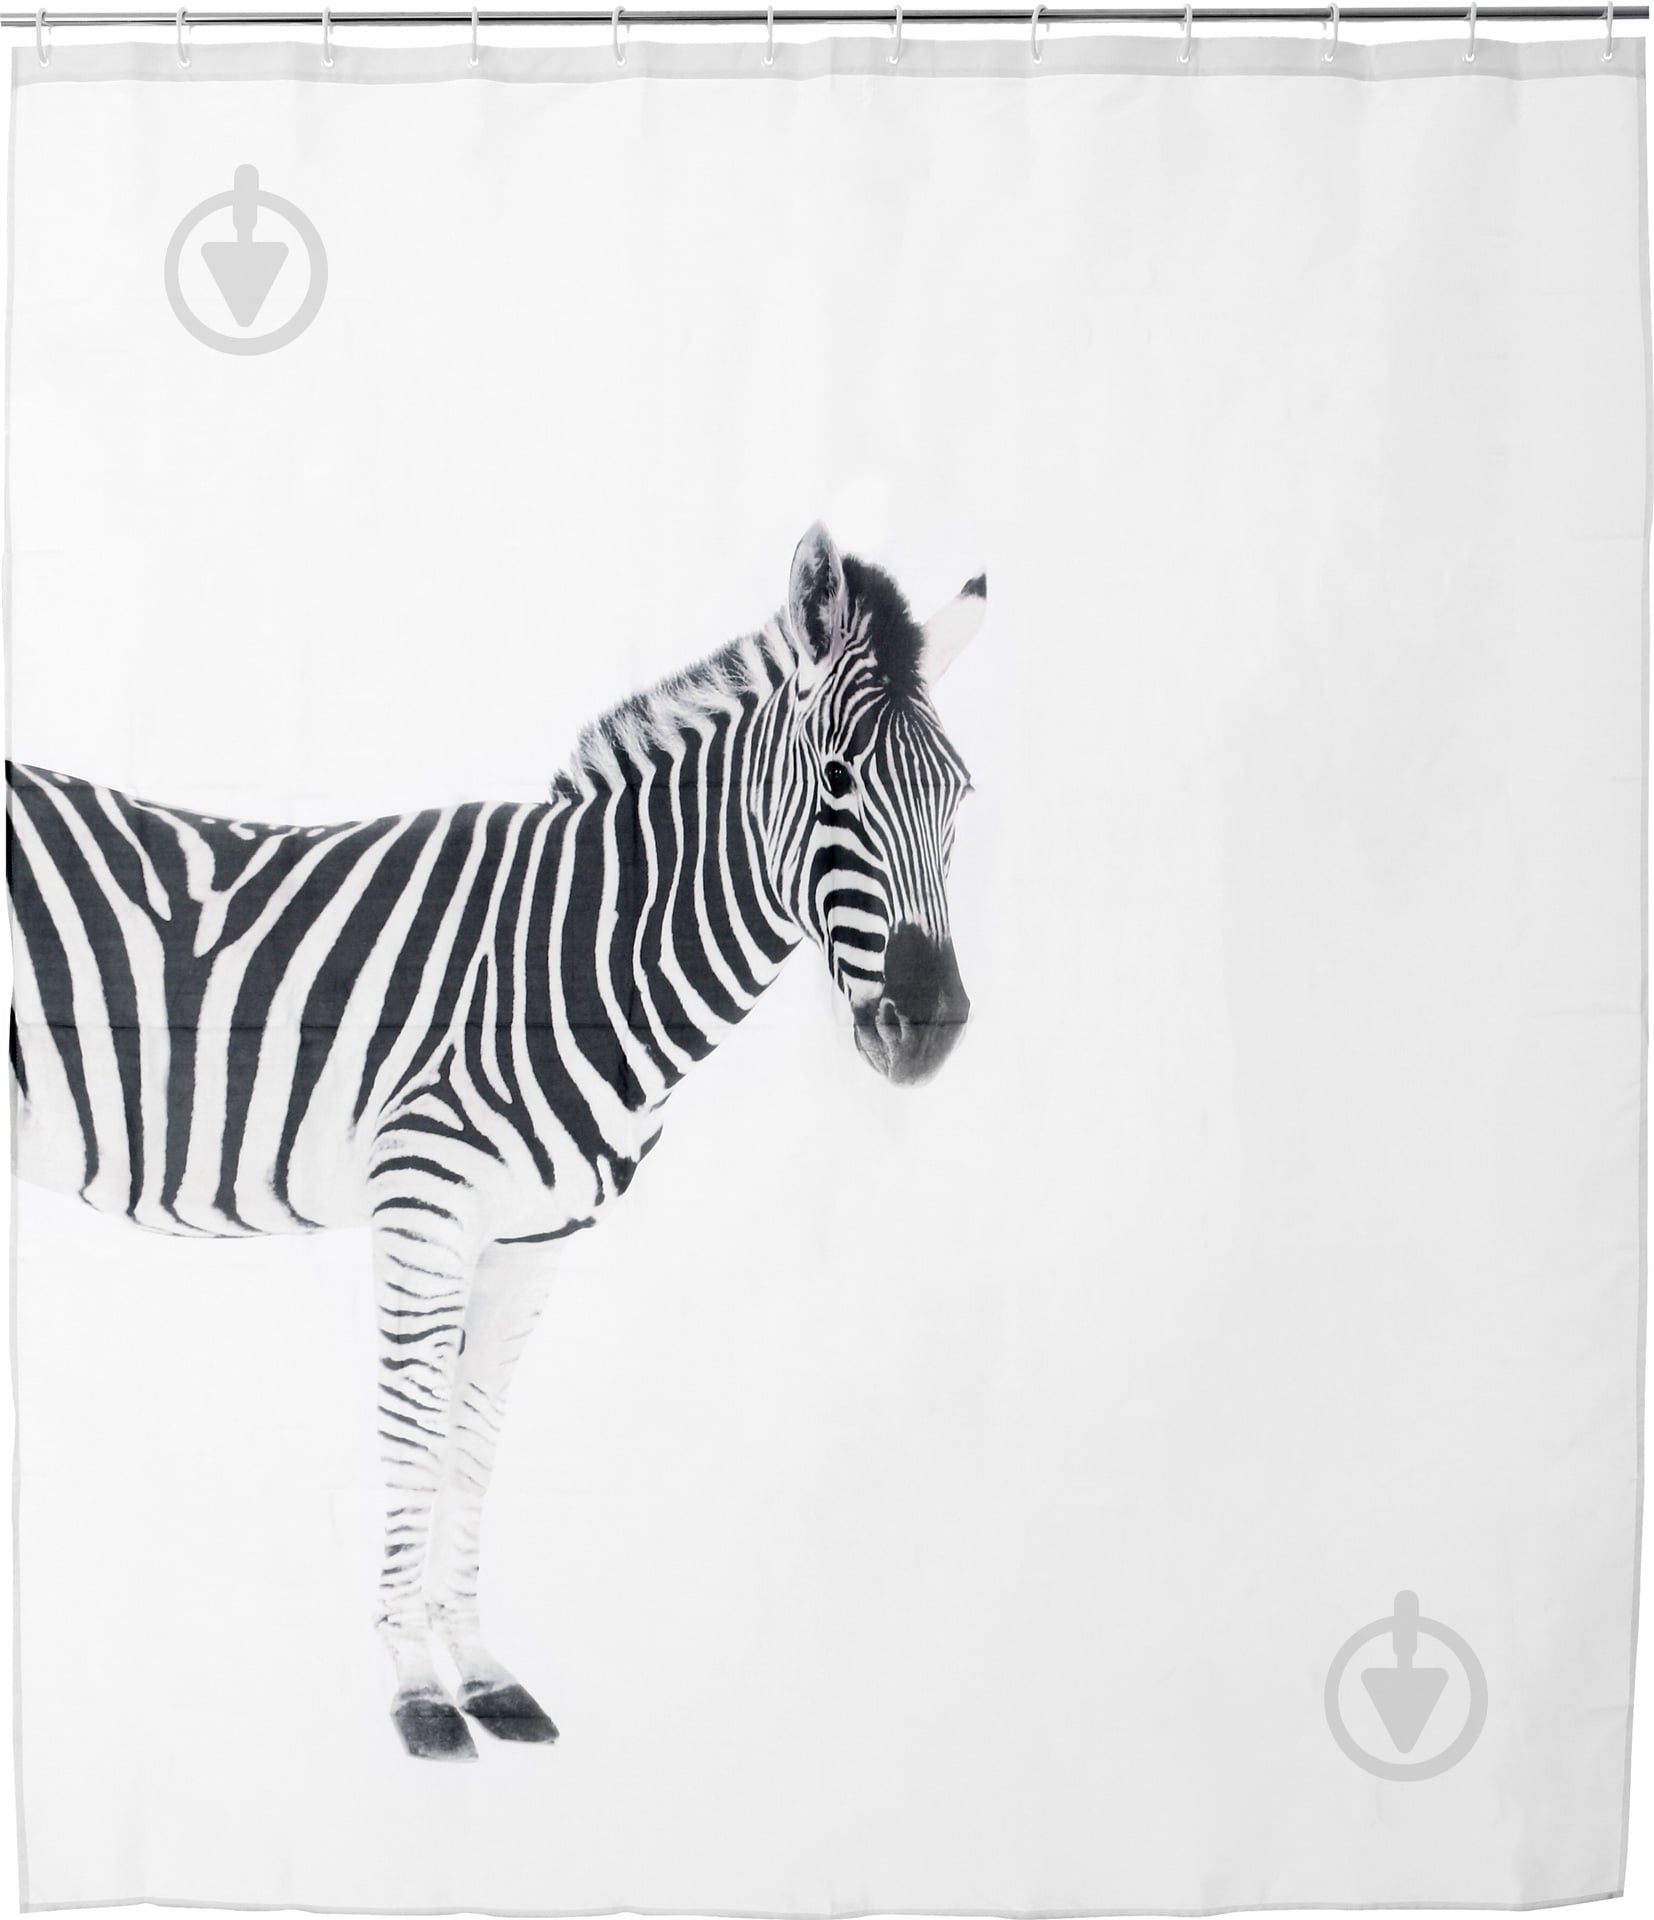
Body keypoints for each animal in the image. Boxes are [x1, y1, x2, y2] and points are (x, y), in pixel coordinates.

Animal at [7, 522, 985, 1761]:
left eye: (960, 796)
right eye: (837, 784)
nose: (931, 1024)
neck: (575, 963)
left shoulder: (534, 1237)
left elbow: (473, 1439)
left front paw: (479, 1669)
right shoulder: (425, 1202)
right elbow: (411, 1430)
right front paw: (415, 1690)